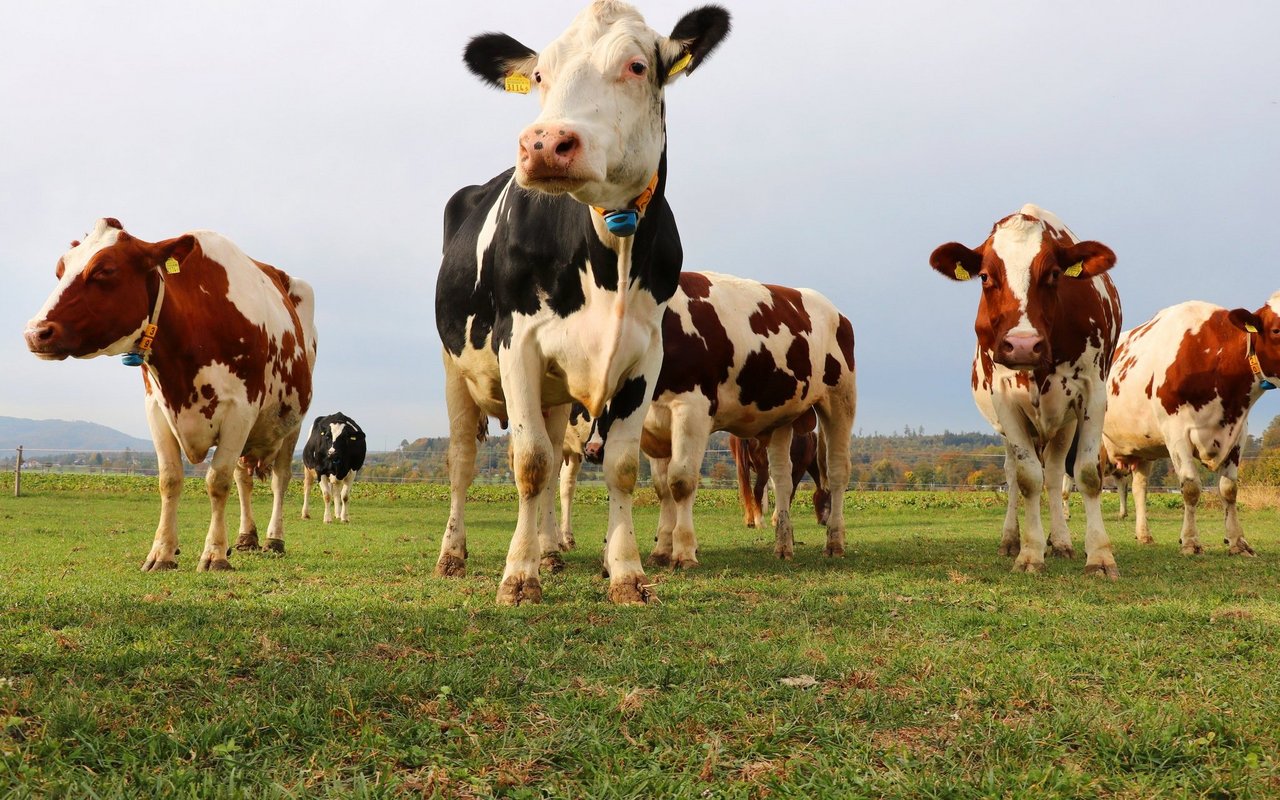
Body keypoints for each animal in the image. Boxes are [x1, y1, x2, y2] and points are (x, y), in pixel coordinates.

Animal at [24, 215, 317, 570]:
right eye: (60, 270)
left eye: (105, 269)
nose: (35, 332)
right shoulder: (157, 408)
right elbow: (170, 479)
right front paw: (162, 552)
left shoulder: (240, 409)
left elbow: (217, 481)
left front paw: (214, 554)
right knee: (244, 479)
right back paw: (246, 537)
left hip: (292, 423)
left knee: (280, 478)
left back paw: (274, 539)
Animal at [1100, 293, 1280, 555]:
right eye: (1276, 329)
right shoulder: (1176, 433)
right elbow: (1191, 487)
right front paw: (1190, 541)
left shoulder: (1238, 434)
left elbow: (1229, 489)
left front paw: (1237, 541)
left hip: (1142, 448)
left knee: (1139, 487)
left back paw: (1144, 535)